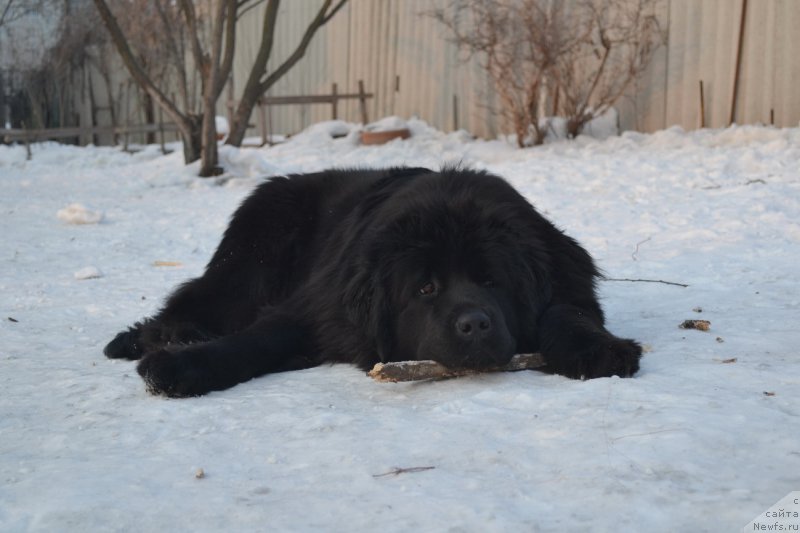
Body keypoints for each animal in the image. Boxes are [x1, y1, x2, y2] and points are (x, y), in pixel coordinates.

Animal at [106, 167, 644, 394]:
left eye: (493, 282)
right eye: (425, 289)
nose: (474, 324)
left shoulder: (563, 273)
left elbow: (566, 310)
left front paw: (599, 349)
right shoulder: (318, 306)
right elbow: (255, 338)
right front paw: (180, 367)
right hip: (249, 266)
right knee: (197, 300)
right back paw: (160, 337)